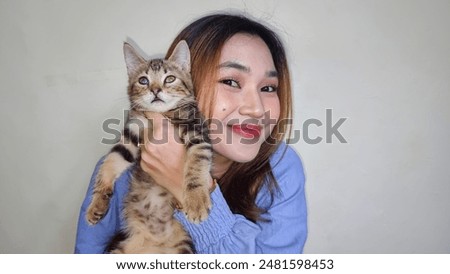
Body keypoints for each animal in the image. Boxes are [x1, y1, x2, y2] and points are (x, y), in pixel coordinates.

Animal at [85, 40, 213, 253]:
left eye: (170, 79)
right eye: (143, 80)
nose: (155, 90)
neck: (162, 115)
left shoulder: (197, 131)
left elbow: (196, 163)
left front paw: (195, 200)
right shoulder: (132, 132)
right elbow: (112, 160)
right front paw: (97, 202)